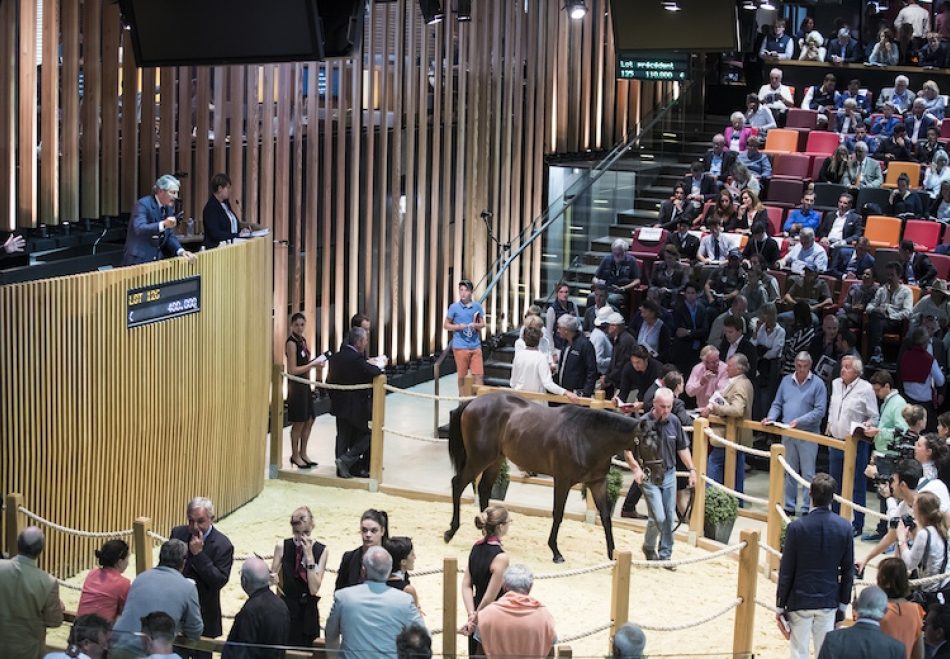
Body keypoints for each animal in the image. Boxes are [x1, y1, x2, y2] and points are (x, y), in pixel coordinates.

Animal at [443, 392, 662, 563]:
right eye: (646, 445)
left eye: (659, 442)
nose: (659, 476)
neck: (588, 437)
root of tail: (473, 402)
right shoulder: (563, 480)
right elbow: (558, 513)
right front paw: (556, 552)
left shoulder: (597, 482)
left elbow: (606, 517)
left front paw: (612, 554)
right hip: (479, 459)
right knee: (458, 484)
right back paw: (450, 532)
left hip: (495, 460)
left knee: (484, 489)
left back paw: (489, 533)